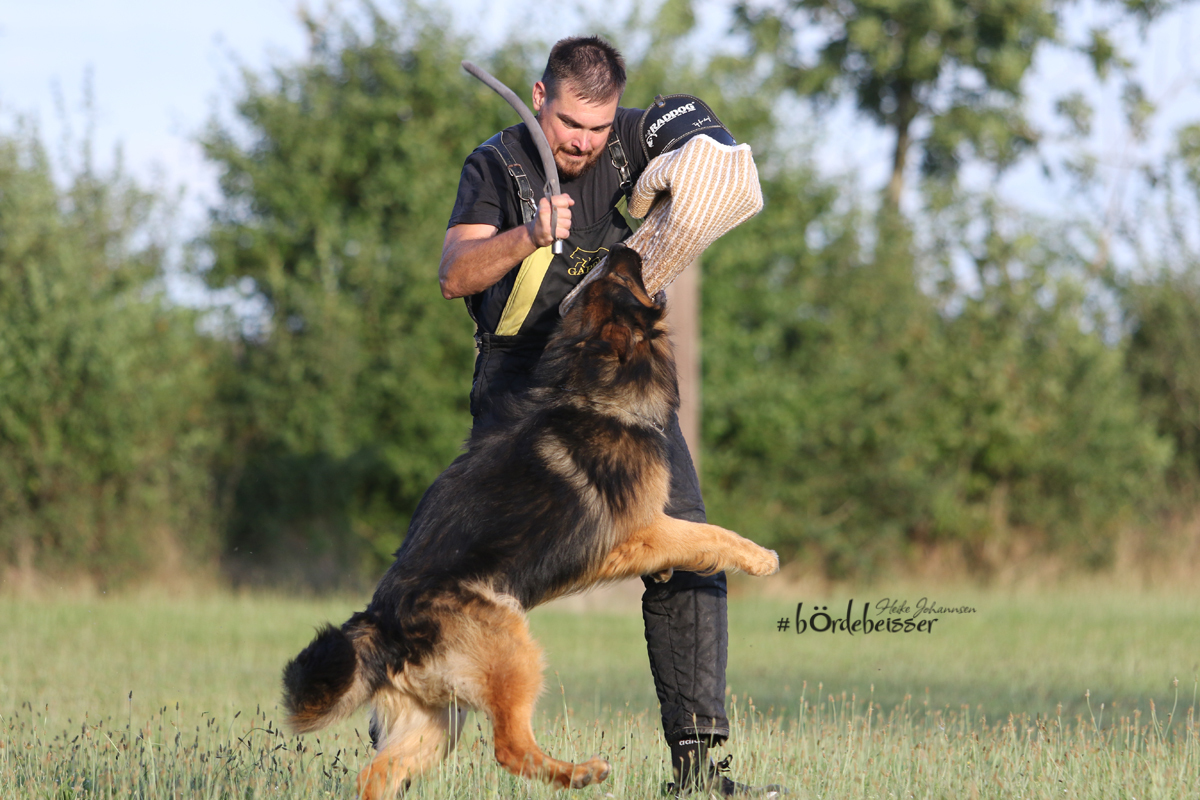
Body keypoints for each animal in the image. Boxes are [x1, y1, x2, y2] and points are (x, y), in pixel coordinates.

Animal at [281, 244, 779, 799]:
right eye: (623, 279)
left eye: (608, 279)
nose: (620, 247)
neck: (592, 385)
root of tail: (381, 621)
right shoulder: (637, 531)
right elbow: (708, 534)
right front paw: (760, 557)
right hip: (513, 653)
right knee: (510, 747)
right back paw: (583, 772)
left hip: (436, 723)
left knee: (377, 773)